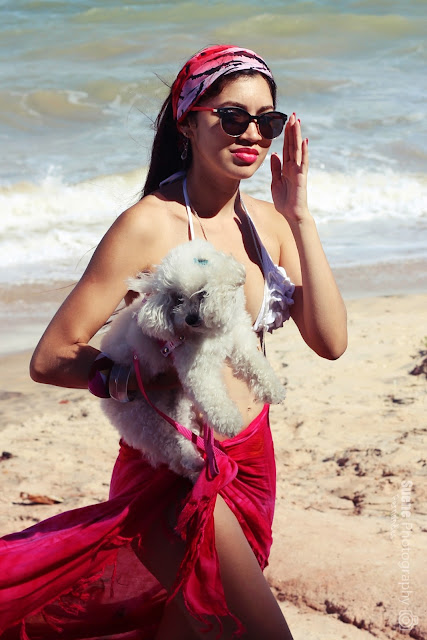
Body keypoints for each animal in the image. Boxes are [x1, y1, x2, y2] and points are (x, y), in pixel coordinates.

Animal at [101, 239, 285, 481]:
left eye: (202, 293)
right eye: (178, 298)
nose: (190, 319)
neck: (210, 331)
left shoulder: (240, 338)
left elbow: (256, 364)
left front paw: (273, 390)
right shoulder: (196, 369)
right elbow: (212, 397)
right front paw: (230, 422)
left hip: (172, 403)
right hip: (145, 415)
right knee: (171, 444)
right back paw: (194, 464)